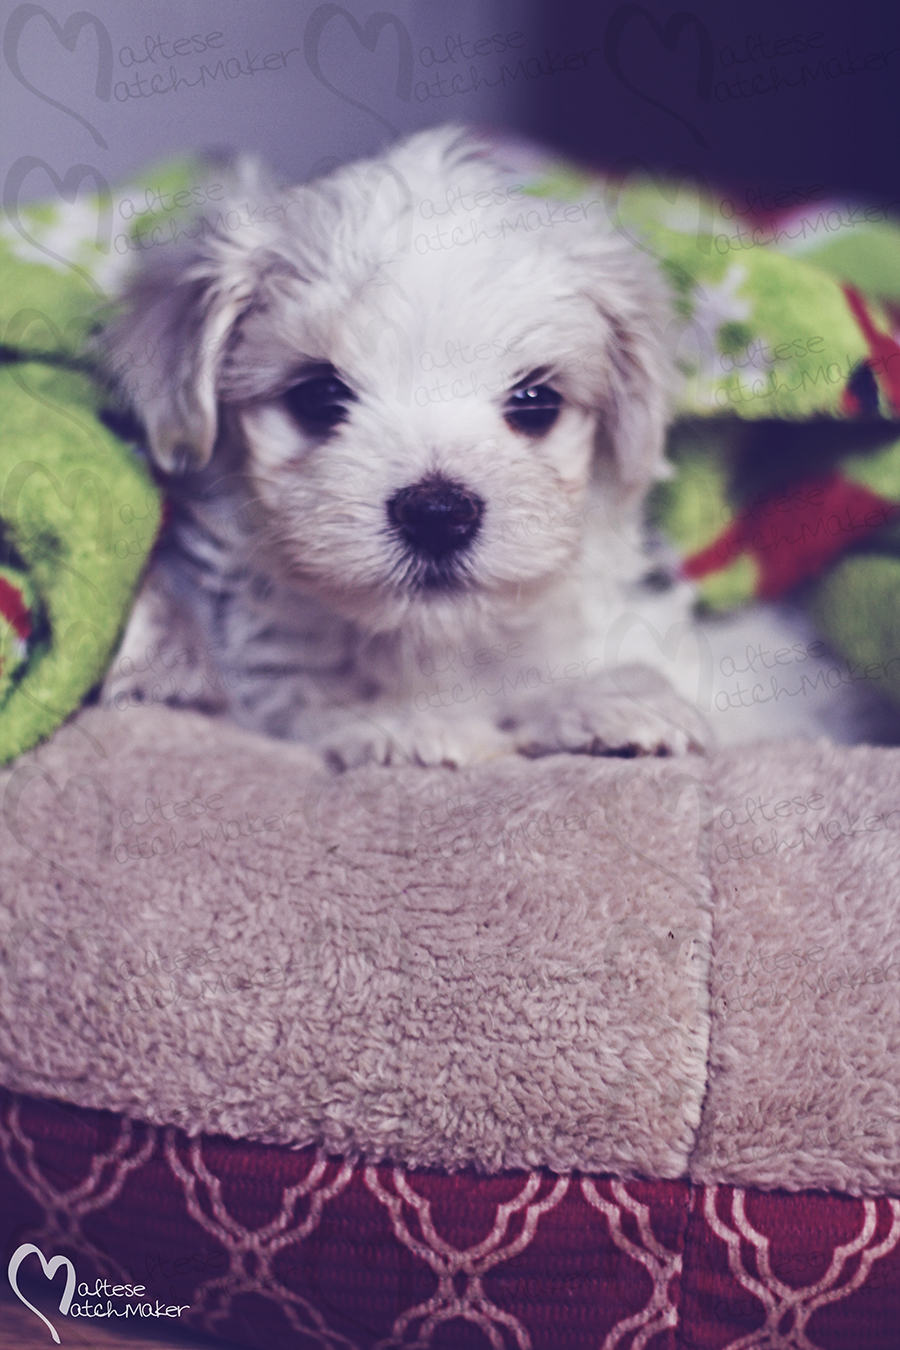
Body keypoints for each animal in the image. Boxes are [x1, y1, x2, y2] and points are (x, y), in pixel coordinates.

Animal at [98, 126, 761, 772]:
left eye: (536, 403)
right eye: (317, 397)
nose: (438, 513)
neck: (434, 643)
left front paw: (612, 702)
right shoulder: (266, 678)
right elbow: (311, 699)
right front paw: (413, 726)